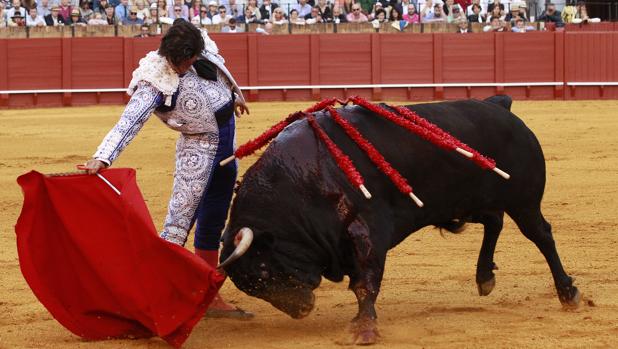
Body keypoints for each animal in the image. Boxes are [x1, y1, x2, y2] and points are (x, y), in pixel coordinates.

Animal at [220, 96, 576, 344]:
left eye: (264, 270)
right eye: (251, 287)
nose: (302, 310)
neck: (300, 180)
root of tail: (499, 105)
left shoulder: (370, 228)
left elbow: (366, 281)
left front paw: (364, 330)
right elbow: (360, 282)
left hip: (524, 201)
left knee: (541, 235)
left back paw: (567, 293)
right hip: (469, 201)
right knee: (494, 222)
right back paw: (484, 277)